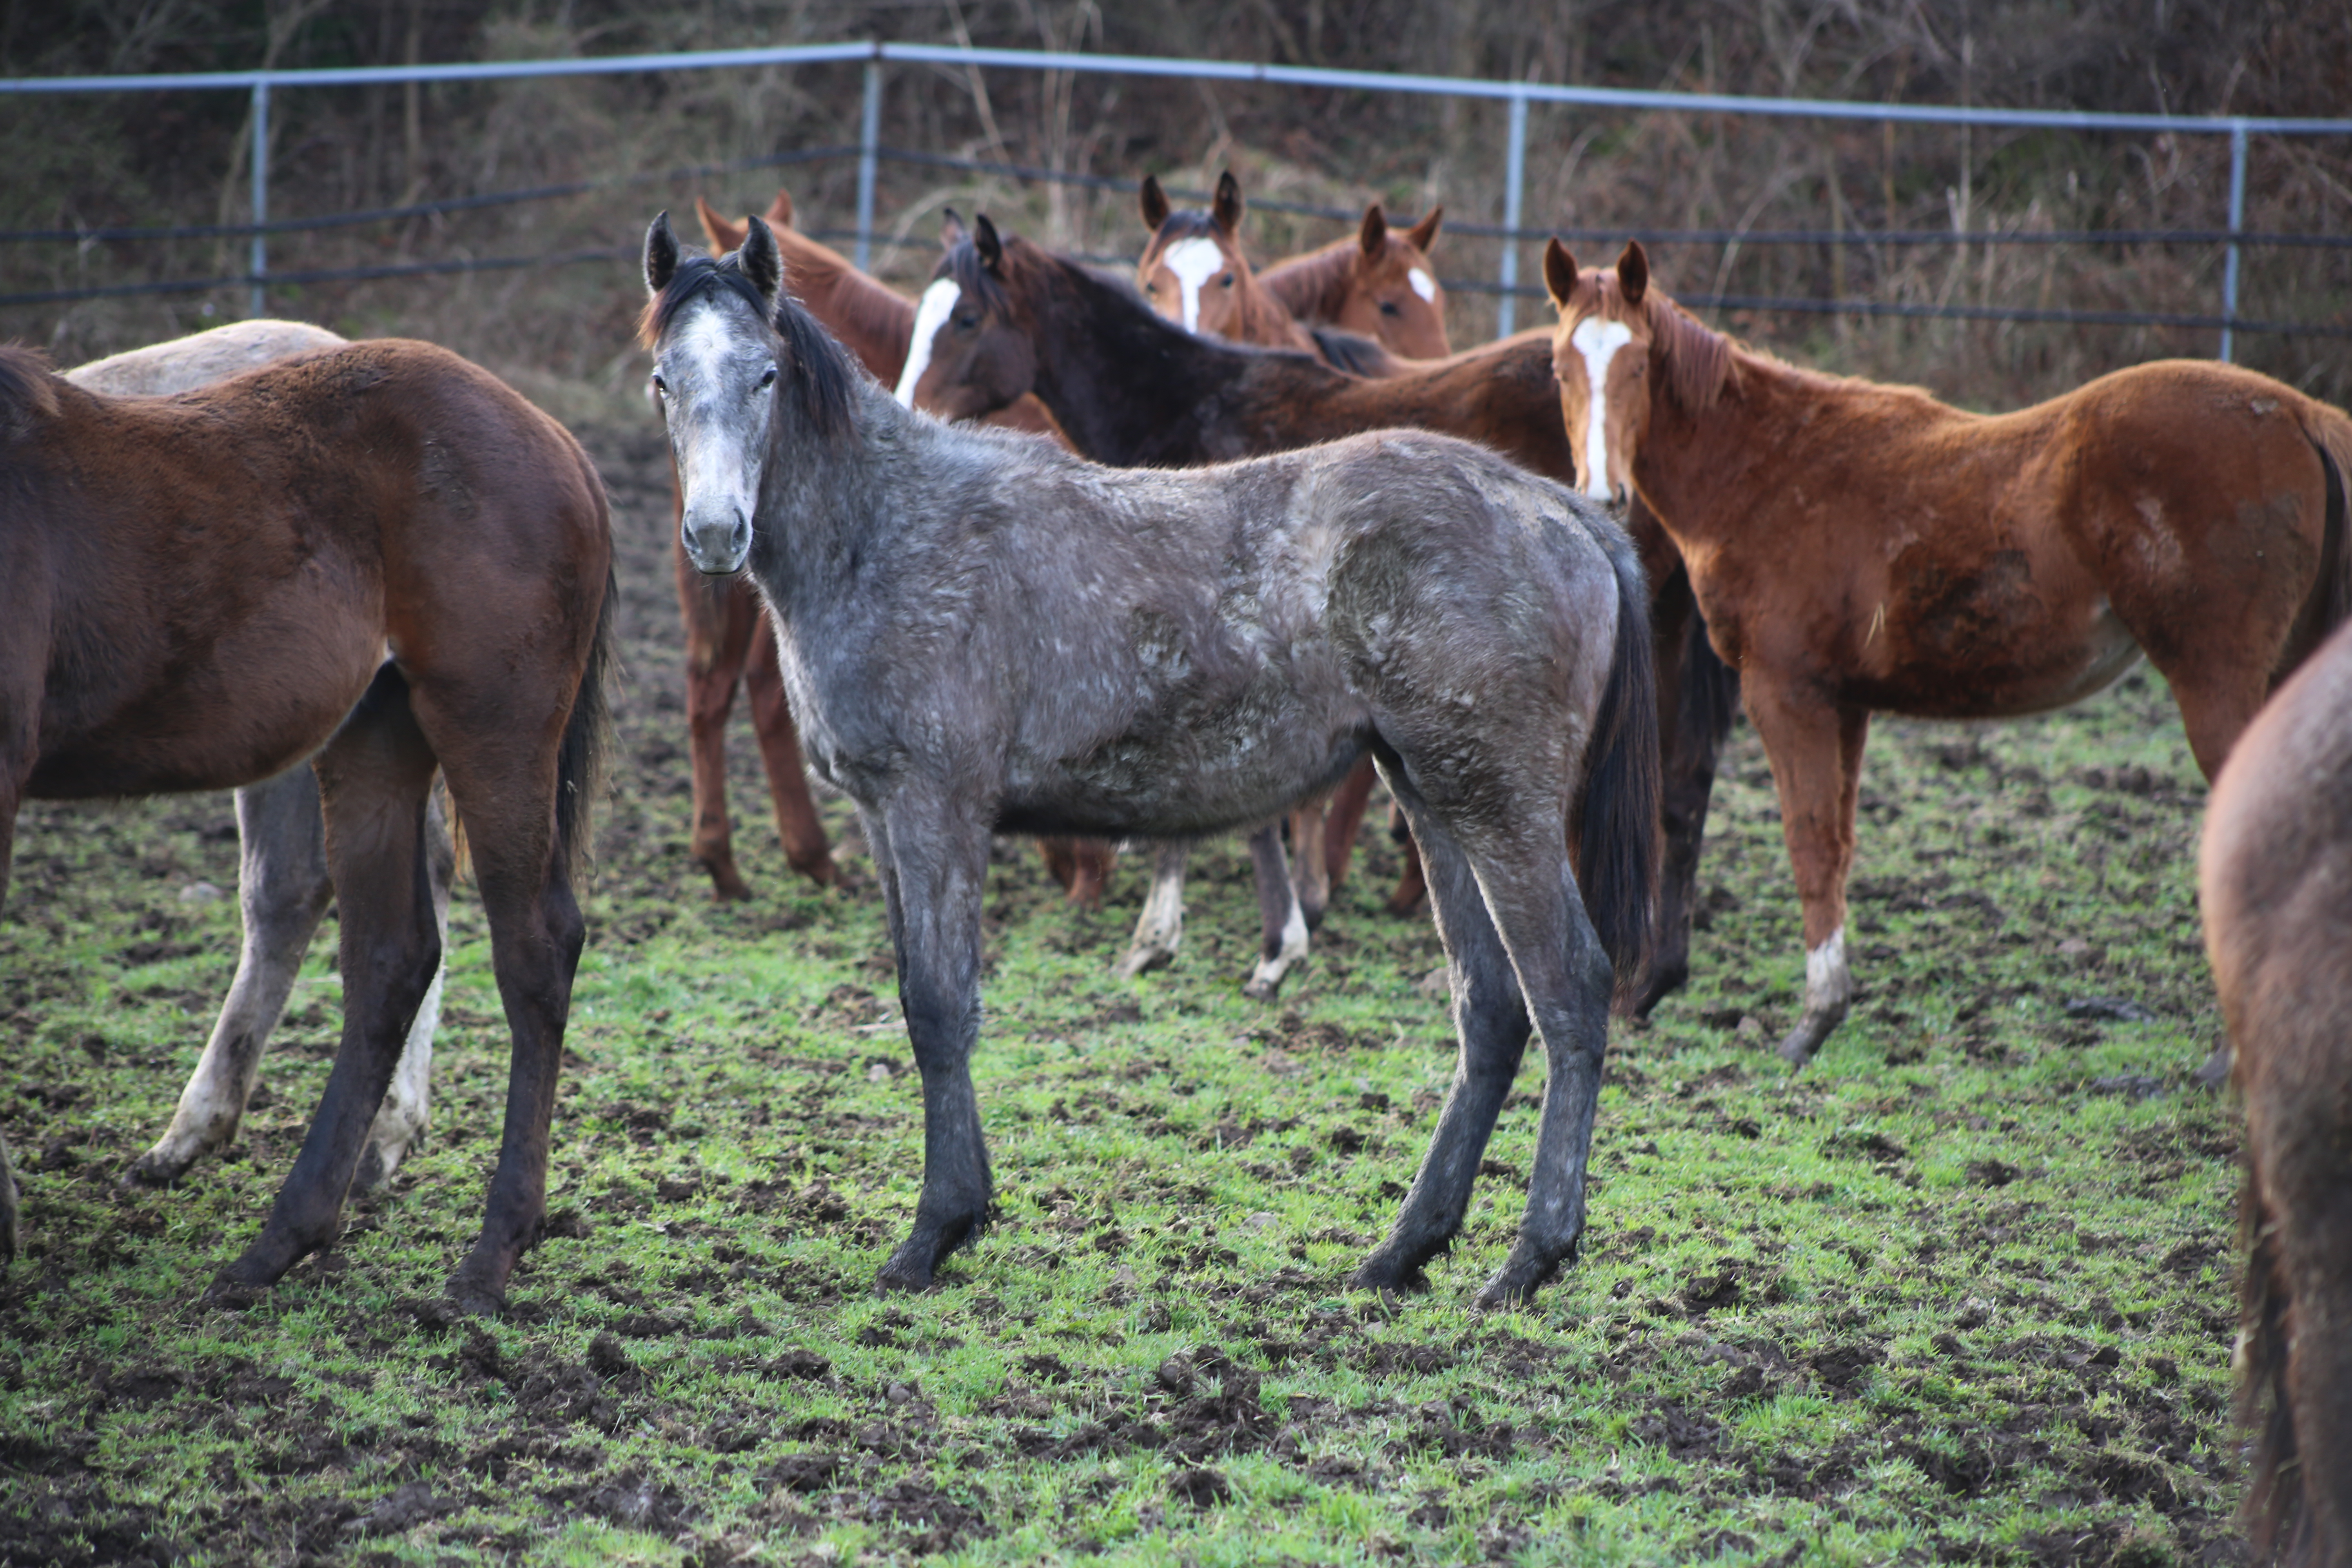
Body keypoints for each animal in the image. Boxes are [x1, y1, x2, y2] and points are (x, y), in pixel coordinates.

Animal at [0, 339, 616, 1316]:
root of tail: (558, 441)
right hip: (373, 737)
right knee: (389, 956)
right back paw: (280, 1241)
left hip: (495, 727)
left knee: (533, 950)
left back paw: (486, 1261)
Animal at [898, 215, 1750, 1011]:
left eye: (966, 317)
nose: (911, 411)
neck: (1198, 410)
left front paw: (1229, 942)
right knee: (1679, 791)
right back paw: (1656, 973)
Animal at [1543, 236, 2352, 1067]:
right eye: (1559, 366)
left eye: (1639, 363)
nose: (1602, 496)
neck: (1768, 469)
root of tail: (2301, 416)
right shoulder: (1846, 704)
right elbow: (1837, 843)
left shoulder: (1786, 692)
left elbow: (1808, 839)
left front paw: (1810, 1023)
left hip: (2217, 684)